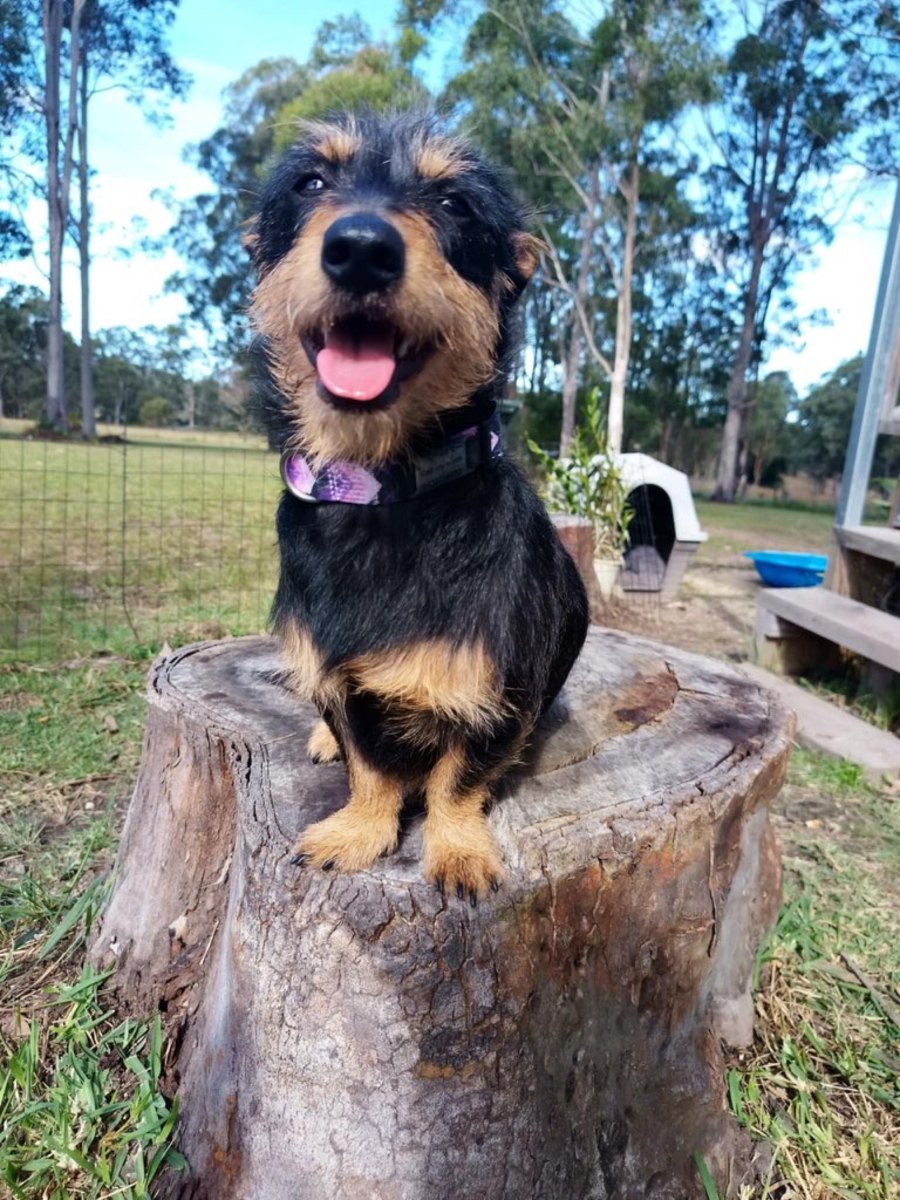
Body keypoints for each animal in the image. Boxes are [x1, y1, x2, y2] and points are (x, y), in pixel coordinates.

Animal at [247, 112, 588, 903]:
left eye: (455, 204)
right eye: (310, 182)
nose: (361, 250)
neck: (380, 489)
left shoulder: (499, 695)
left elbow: (453, 782)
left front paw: (457, 849)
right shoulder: (339, 682)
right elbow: (368, 765)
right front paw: (358, 831)